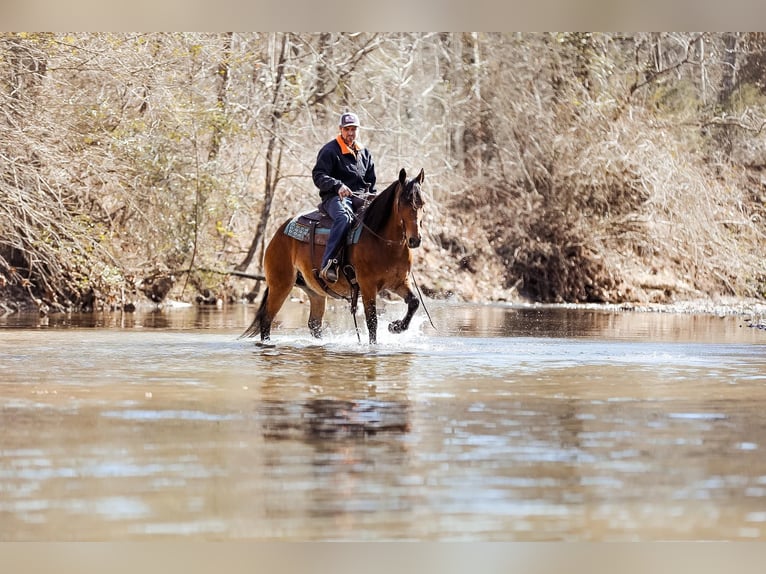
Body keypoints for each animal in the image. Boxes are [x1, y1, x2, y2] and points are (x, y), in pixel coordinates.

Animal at [242, 168, 426, 346]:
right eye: (404, 202)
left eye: (422, 203)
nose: (415, 239)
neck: (383, 242)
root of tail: (279, 232)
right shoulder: (367, 286)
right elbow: (372, 322)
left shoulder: (399, 282)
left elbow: (414, 302)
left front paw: (395, 326)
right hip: (280, 285)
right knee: (266, 319)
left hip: (315, 293)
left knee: (314, 324)